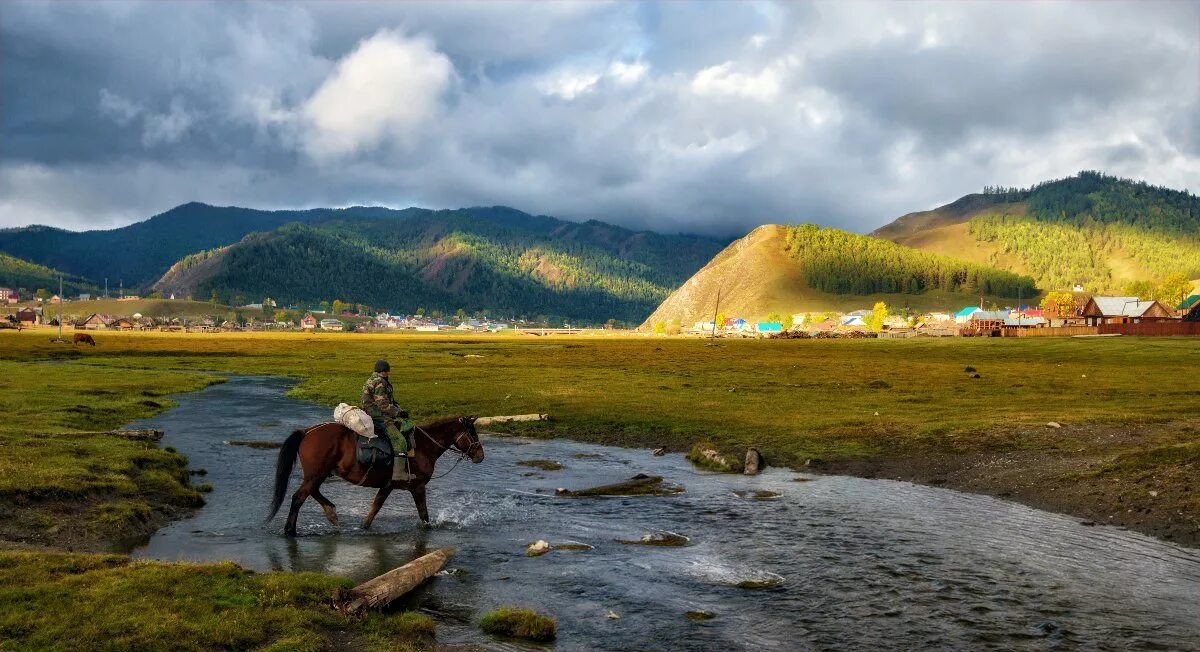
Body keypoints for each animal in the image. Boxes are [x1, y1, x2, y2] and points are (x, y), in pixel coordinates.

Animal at [267, 417, 482, 535]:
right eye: (472, 433)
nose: (481, 455)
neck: (424, 446)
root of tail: (307, 431)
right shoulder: (418, 486)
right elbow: (424, 514)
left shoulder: (387, 486)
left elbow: (373, 510)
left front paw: (363, 528)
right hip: (315, 475)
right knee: (298, 497)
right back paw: (290, 530)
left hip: (318, 475)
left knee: (312, 492)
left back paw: (331, 514)